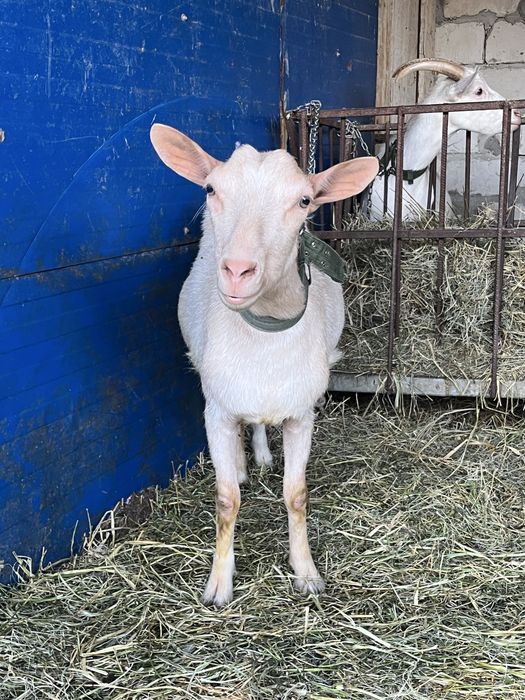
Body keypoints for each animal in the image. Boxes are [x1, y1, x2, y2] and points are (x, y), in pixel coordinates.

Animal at [150, 124, 378, 606]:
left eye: (305, 200)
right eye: (211, 188)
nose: (238, 270)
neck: (265, 337)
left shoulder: (301, 413)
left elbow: (297, 495)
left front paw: (306, 573)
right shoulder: (217, 411)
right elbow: (225, 500)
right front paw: (219, 584)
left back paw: (260, 455)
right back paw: (240, 464)